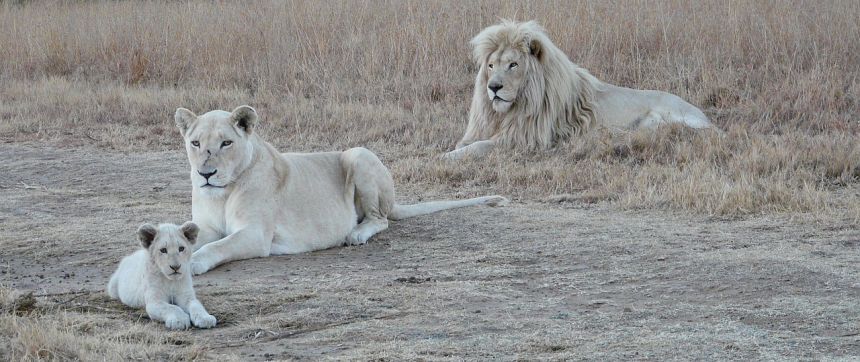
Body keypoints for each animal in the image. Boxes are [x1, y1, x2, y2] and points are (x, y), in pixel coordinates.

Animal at [177, 104, 508, 274]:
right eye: (195, 143)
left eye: (226, 143)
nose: (205, 174)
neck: (222, 193)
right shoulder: (207, 227)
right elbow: (194, 237)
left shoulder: (256, 235)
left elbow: (218, 246)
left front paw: (193, 263)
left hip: (358, 154)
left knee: (380, 219)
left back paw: (356, 234)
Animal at [444, 20, 712, 160]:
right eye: (491, 66)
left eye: (513, 65)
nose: (493, 87)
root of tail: (706, 118)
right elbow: (466, 143)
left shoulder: (525, 139)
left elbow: (479, 147)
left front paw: (445, 157)